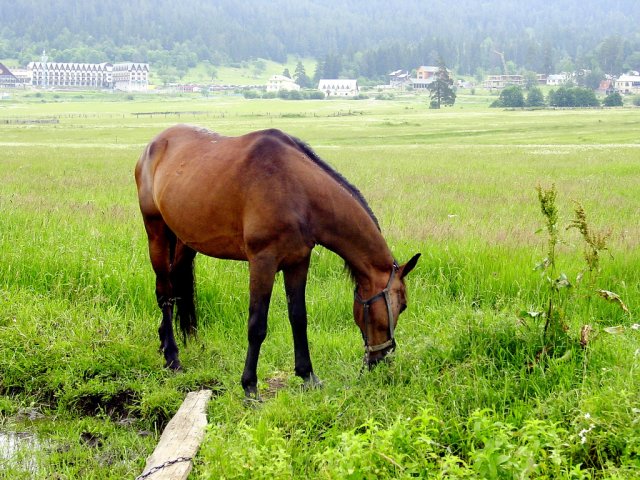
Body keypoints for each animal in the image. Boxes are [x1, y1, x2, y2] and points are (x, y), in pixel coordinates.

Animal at [135, 124, 420, 398]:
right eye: (403, 305)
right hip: (156, 232)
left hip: (185, 242)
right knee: (164, 292)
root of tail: (153, 145)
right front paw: (249, 386)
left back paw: (166, 342)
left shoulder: (298, 262)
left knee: (176, 285)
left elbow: (299, 318)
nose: (382, 360)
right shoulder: (263, 262)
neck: (298, 190)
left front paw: (308, 376)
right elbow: (257, 324)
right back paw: (172, 357)